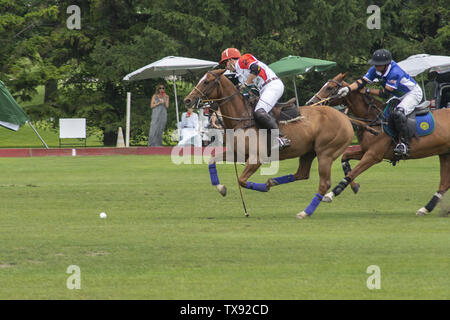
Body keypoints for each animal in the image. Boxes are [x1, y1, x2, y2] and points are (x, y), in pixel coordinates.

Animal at [183, 69, 356, 219]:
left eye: (206, 81)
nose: (187, 100)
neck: (241, 117)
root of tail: (345, 118)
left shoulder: (256, 159)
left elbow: (241, 180)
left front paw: (262, 189)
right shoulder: (237, 153)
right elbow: (212, 161)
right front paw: (221, 188)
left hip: (326, 153)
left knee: (324, 183)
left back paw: (304, 212)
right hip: (309, 152)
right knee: (302, 174)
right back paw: (273, 182)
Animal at [306, 74, 450, 216]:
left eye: (329, 88)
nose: (310, 103)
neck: (374, 118)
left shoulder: (374, 155)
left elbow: (353, 172)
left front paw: (330, 194)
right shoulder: (366, 150)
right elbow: (345, 158)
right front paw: (355, 186)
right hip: (444, 153)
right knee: (444, 183)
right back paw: (426, 208)